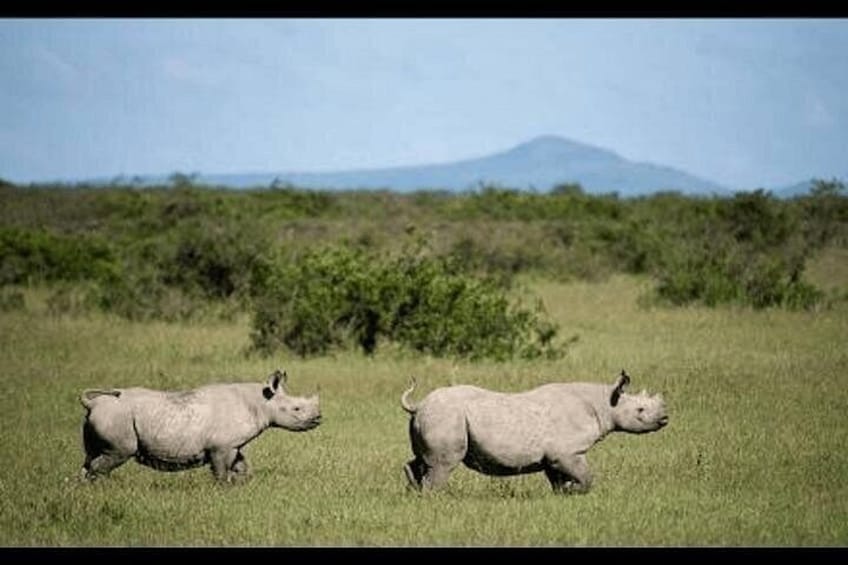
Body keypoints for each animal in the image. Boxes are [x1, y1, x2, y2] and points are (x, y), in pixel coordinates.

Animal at [79, 369, 321, 483]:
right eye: (297, 409)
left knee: (90, 457)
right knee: (117, 454)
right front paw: (224, 490)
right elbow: (221, 472)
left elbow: (243, 467)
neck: (262, 402)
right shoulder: (220, 446)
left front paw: (242, 484)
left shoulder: (233, 444)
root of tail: (92, 403)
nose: (319, 418)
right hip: (117, 418)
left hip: (105, 417)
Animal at [400, 370, 667, 493]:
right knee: (442, 465)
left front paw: (564, 493)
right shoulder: (567, 452)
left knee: (422, 460)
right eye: (640, 410)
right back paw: (435, 497)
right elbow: (586, 477)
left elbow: (558, 479)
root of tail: (419, 404)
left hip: (434, 416)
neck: (606, 403)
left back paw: (414, 491)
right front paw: (574, 490)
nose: (665, 418)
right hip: (446, 416)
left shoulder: (555, 456)